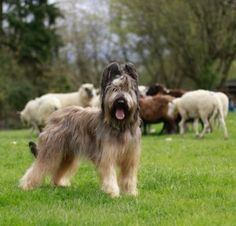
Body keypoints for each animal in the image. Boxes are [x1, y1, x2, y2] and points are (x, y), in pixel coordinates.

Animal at [19, 62, 141, 198]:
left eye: (128, 90)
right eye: (114, 89)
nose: (120, 101)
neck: (120, 126)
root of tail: (54, 115)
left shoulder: (130, 157)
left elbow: (129, 177)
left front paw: (130, 193)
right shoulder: (106, 155)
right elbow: (109, 174)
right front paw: (113, 193)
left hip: (68, 155)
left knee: (59, 170)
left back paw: (59, 184)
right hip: (51, 150)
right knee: (38, 167)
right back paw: (26, 185)